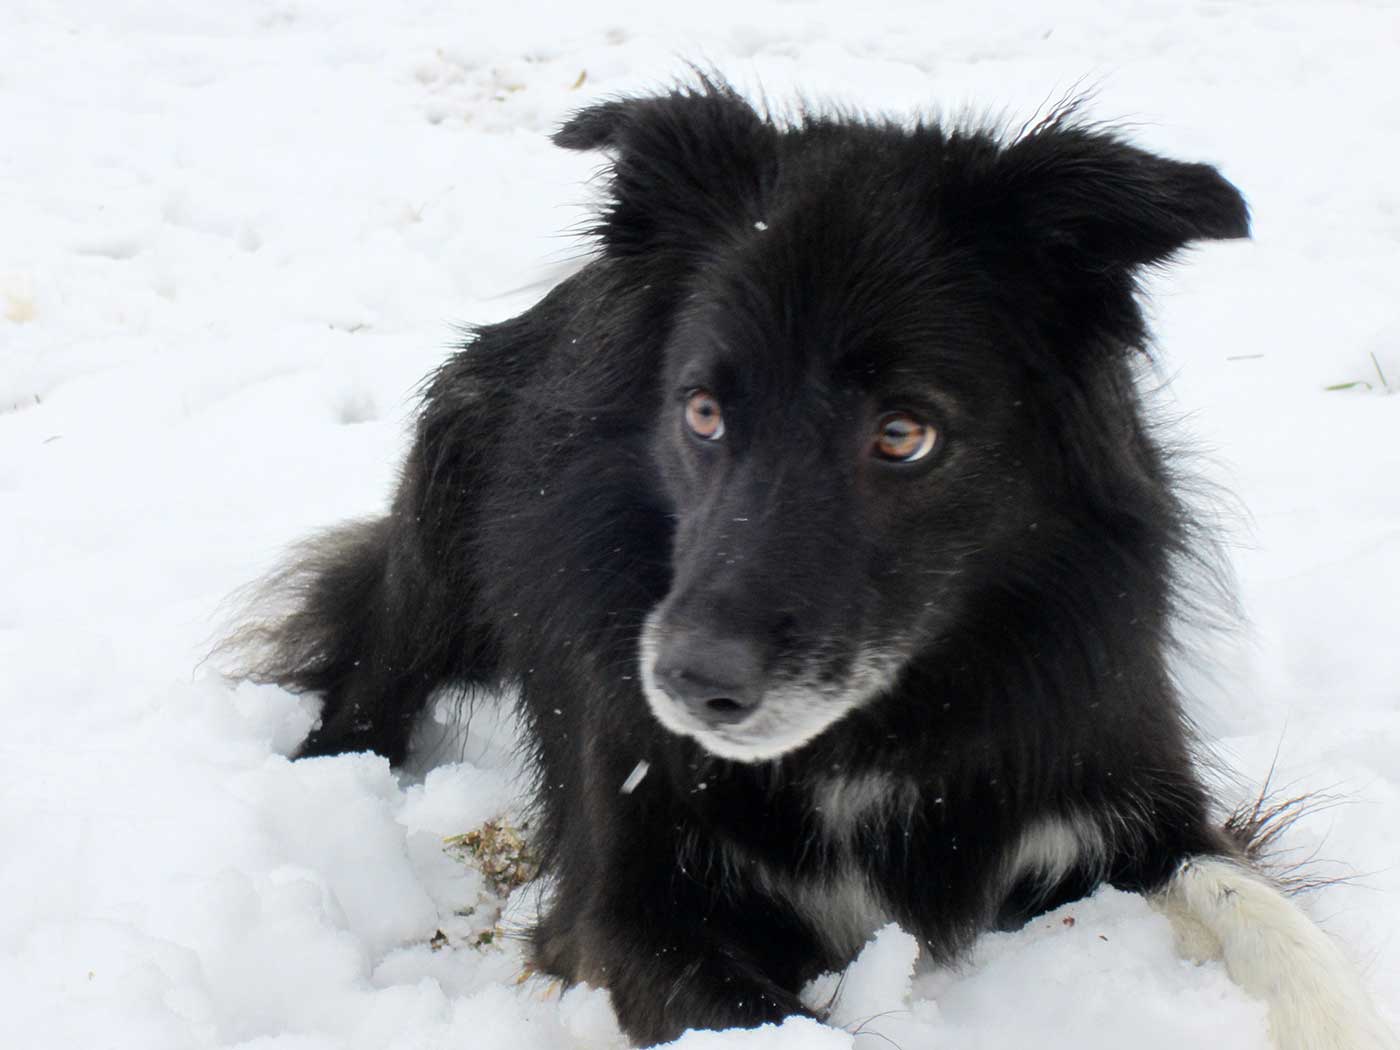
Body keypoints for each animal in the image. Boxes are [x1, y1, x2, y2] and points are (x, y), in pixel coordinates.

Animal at [229, 81, 1398, 1048]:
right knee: (365, 682)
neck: (873, 737)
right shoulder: (631, 909)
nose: (693, 683)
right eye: (702, 411)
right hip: (442, 512)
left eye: (903, 434)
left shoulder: (1121, 803)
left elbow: (1277, 929)